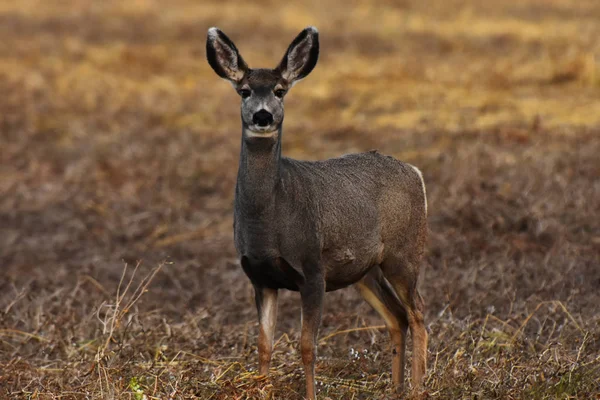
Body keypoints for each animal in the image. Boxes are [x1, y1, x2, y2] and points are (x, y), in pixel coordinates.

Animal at [209, 26, 428, 398]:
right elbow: (264, 345)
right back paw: (396, 388)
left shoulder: (312, 269)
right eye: (245, 91)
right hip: (364, 271)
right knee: (397, 316)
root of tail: (415, 172)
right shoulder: (260, 277)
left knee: (418, 315)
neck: (269, 221)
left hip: (404, 253)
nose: (263, 115)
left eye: (280, 91)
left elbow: (307, 347)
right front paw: (262, 388)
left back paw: (416, 388)